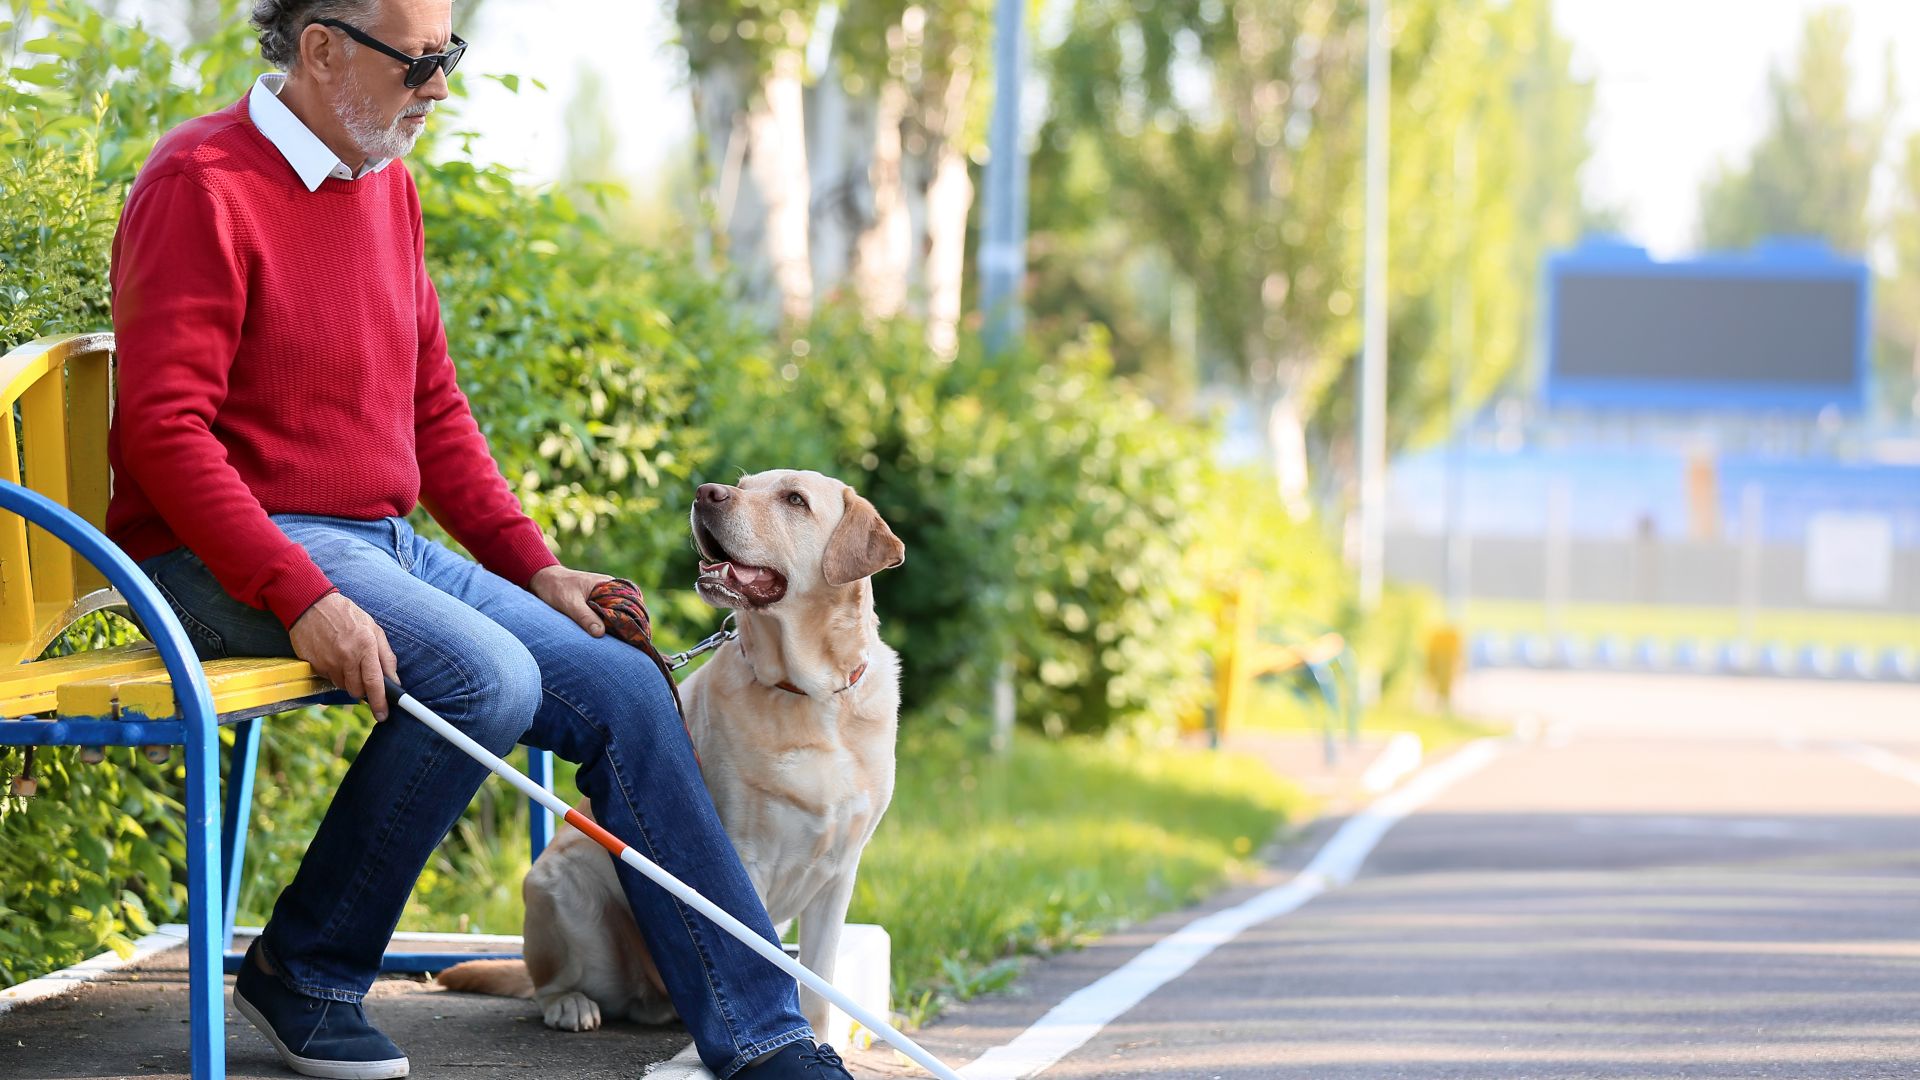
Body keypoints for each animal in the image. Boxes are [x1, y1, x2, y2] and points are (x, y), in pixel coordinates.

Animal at [441, 466, 906, 1037]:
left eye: (795, 500)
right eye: (744, 485)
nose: (708, 493)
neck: (808, 694)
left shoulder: (838, 875)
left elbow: (818, 989)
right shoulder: (744, 860)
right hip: (561, 891)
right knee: (547, 983)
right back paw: (571, 1004)